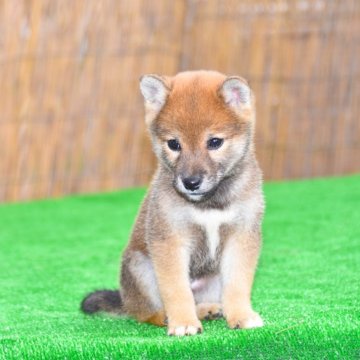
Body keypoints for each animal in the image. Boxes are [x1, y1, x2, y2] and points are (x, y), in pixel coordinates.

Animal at [83, 71, 266, 338]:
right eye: (174, 144)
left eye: (214, 142)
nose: (191, 182)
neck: (210, 204)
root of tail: (125, 301)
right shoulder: (170, 241)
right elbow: (176, 291)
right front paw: (183, 322)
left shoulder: (241, 237)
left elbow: (238, 285)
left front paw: (241, 316)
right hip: (141, 268)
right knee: (146, 313)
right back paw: (170, 317)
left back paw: (208, 309)